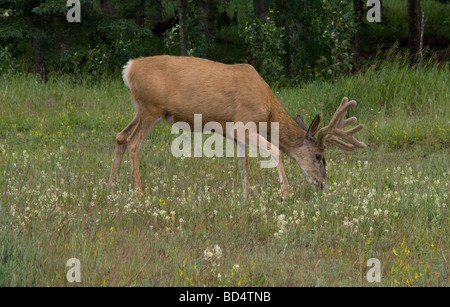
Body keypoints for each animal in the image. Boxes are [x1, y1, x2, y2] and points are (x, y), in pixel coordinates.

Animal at [109, 55, 366, 200]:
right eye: (319, 156)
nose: (322, 184)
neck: (268, 108)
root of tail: (128, 69)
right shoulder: (242, 124)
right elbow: (274, 150)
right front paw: (285, 194)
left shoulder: (235, 134)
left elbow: (243, 164)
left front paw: (245, 197)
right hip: (151, 108)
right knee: (133, 142)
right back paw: (140, 193)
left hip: (141, 110)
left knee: (120, 136)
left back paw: (111, 186)